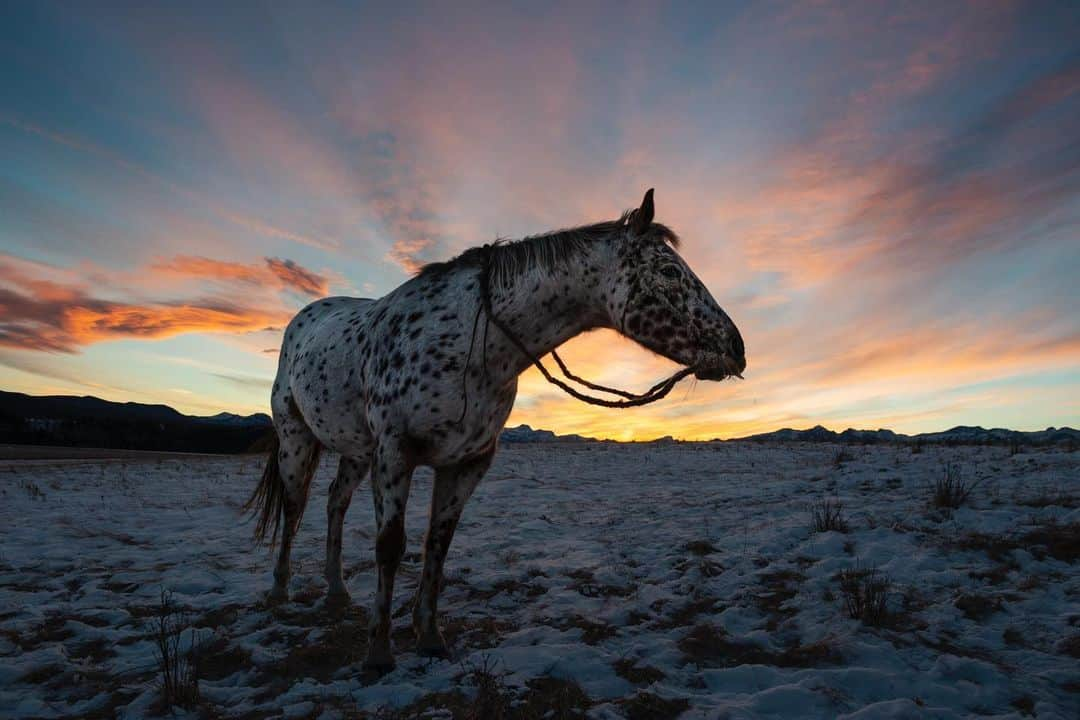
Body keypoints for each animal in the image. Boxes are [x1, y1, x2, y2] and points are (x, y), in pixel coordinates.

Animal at [247, 188, 747, 673]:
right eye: (668, 270)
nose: (736, 347)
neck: (473, 343)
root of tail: (303, 320)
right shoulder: (394, 453)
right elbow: (390, 547)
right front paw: (378, 654)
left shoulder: (467, 462)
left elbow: (438, 546)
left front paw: (430, 638)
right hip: (298, 440)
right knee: (294, 508)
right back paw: (279, 592)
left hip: (355, 451)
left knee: (335, 502)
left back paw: (336, 592)